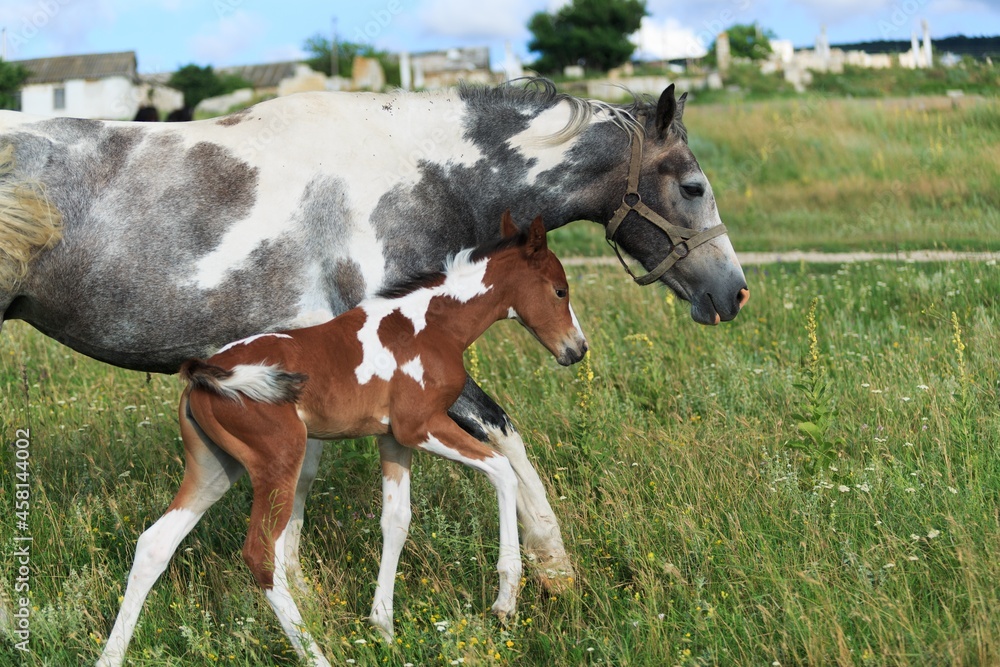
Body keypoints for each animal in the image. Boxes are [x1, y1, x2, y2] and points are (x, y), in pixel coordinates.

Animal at [95, 215, 584, 667]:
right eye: (560, 290)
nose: (576, 350)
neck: (429, 327)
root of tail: (205, 373)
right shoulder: (421, 426)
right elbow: (502, 471)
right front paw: (505, 600)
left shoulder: (394, 440)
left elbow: (396, 521)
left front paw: (383, 627)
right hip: (279, 461)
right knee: (260, 555)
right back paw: (316, 656)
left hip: (215, 467)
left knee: (155, 544)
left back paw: (110, 656)